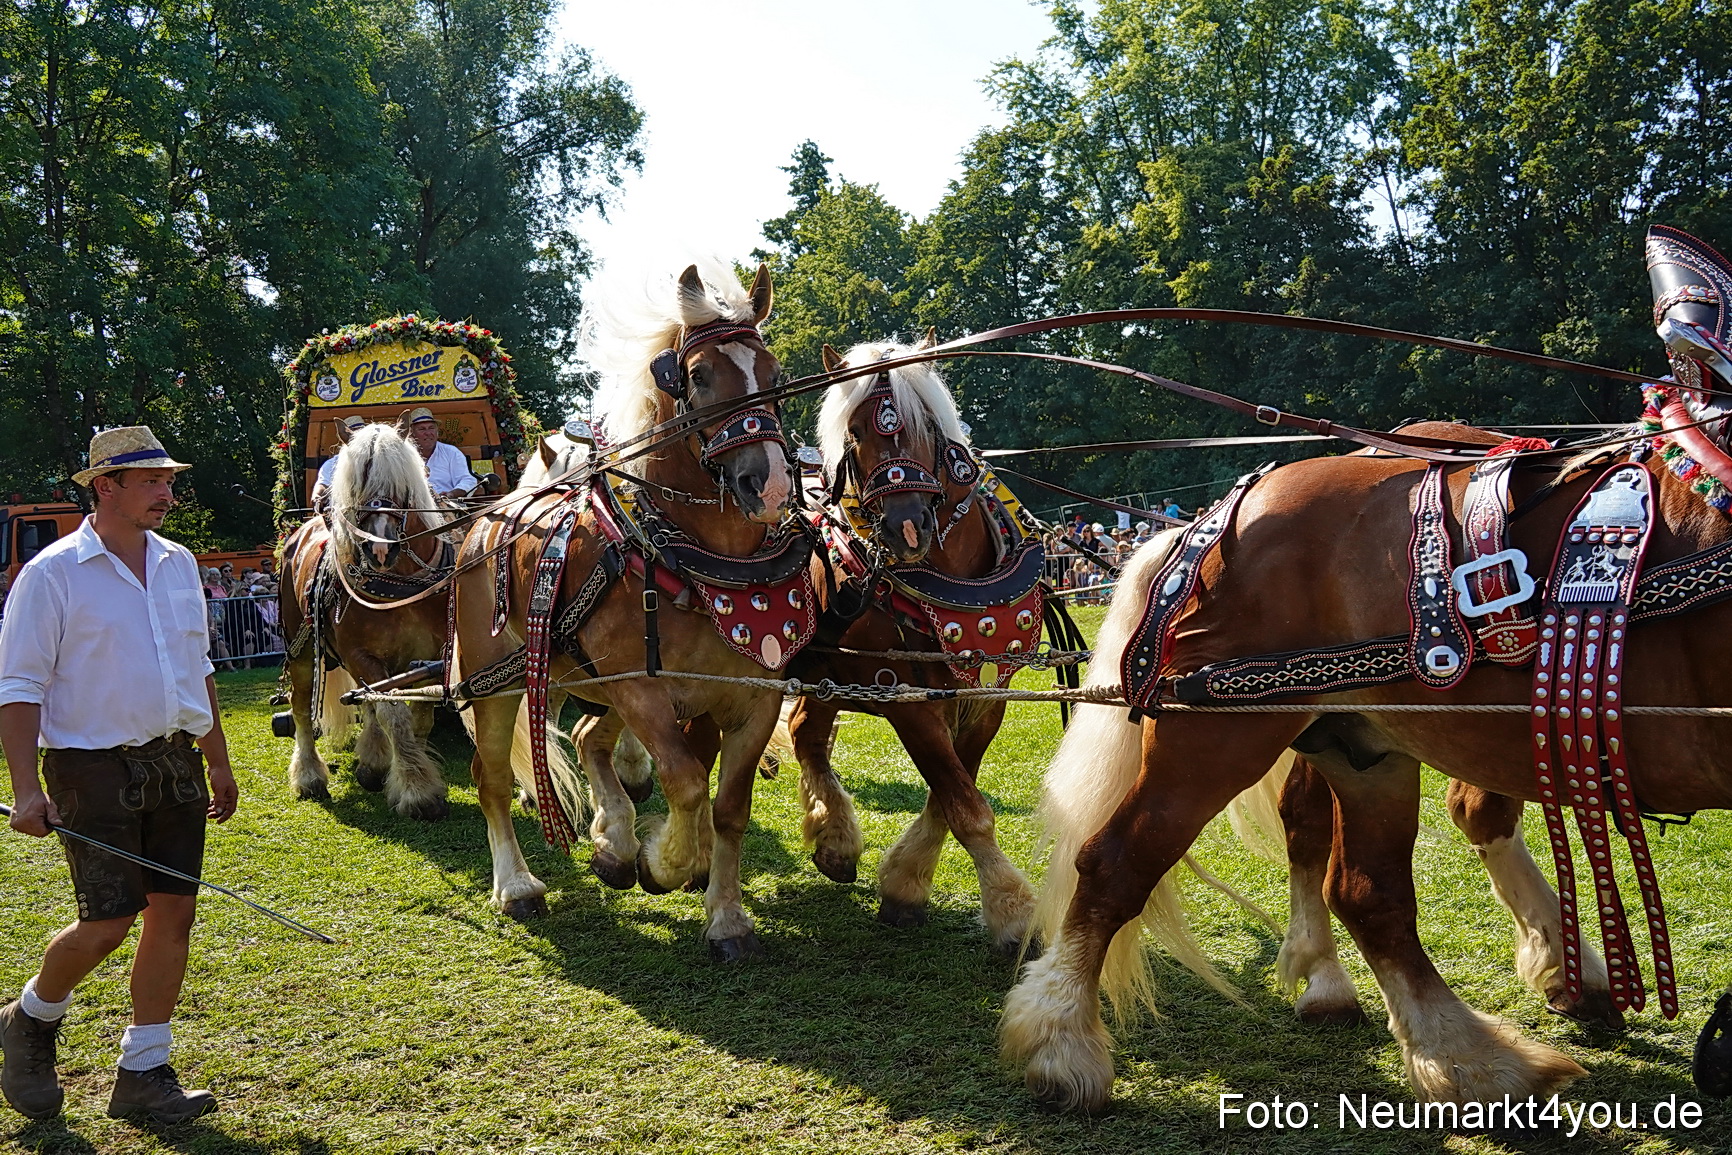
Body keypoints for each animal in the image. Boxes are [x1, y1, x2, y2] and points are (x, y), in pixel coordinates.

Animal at [277, 423, 456, 821]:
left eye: (400, 486)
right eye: (358, 485)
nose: (379, 549)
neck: (400, 586)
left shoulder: (432, 656)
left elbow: (418, 715)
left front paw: (402, 771)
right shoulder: (360, 655)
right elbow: (394, 714)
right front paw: (417, 791)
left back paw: (373, 761)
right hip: (301, 650)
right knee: (301, 706)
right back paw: (310, 776)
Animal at [448, 260, 801, 954]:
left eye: (773, 375)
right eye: (698, 376)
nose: (770, 484)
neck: (697, 561)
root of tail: (486, 520)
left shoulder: (753, 697)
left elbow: (730, 808)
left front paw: (726, 915)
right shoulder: (640, 688)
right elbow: (686, 784)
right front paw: (663, 863)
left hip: (581, 676)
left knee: (587, 738)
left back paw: (611, 840)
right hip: (499, 683)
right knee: (492, 777)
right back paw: (519, 884)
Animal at [769, 336, 1040, 954]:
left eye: (926, 428)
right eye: (855, 433)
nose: (907, 527)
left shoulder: (987, 699)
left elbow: (951, 796)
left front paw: (906, 884)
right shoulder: (907, 701)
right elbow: (965, 806)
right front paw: (1012, 911)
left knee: (806, 734)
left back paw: (834, 840)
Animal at [1002, 236, 1732, 1108]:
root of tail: (1219, 515)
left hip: (1363, 743)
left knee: (1369, 884)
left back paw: (1465, 1051)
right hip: (1219, 734)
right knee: (1117, 861)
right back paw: (1061, 1043)